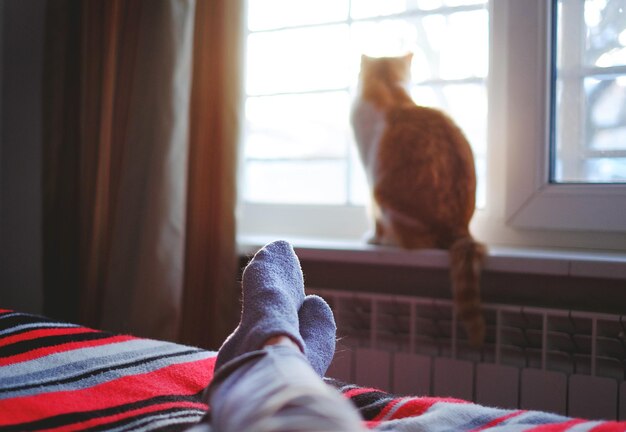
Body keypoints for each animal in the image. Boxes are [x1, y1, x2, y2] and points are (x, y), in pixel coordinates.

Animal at [348, 53, 486, 348]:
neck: (392, 92)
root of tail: (459, 229)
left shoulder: (371, 176)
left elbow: (375, 220)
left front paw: (373, 239)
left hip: (384, 196)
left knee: (410, 241)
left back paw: (387, 241)